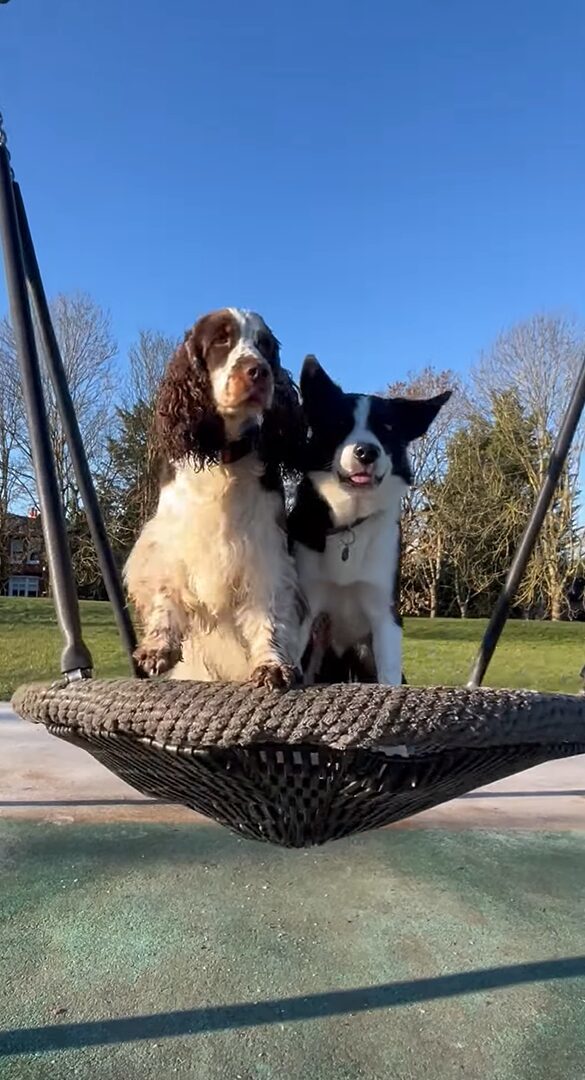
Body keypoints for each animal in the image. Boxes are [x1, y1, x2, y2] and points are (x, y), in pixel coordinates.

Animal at [127, 308, 306, 686]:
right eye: (222, 340)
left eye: (265, 346)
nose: (259, 371)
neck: (221, 456)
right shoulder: (172, 539)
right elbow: (166, 591)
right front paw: (158, 647)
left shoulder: (265, 549)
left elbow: (268, 615)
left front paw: (272, 664)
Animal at [291, 356, 451, 682]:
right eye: (340, 424)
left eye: (388, 428)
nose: (367, 451)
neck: (351, 518)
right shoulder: (307, 606)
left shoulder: (385, 615)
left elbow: (388, 676)